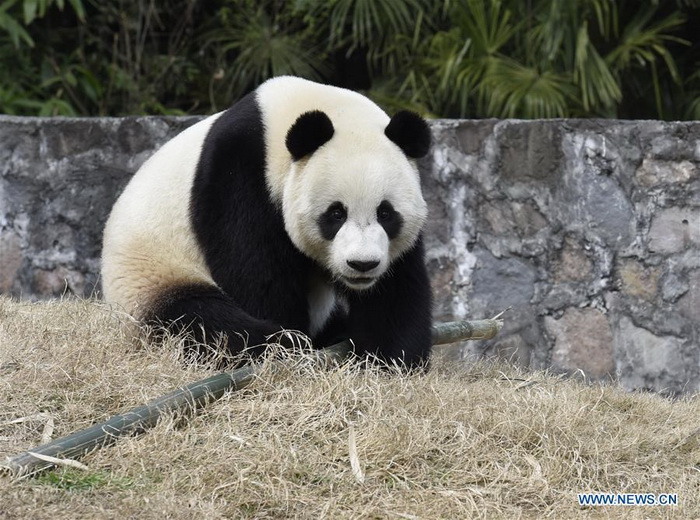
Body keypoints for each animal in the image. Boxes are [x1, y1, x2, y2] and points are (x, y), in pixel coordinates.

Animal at [102, 76, 432, 369]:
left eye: (386, 213)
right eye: (336, 214)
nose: (362, 264)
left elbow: (396, 288)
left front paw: (387, 359)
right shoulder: (239, 174)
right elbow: (255, 272)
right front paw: (290, 342)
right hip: (150, 278)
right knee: (200, 321)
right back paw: (281, 343)